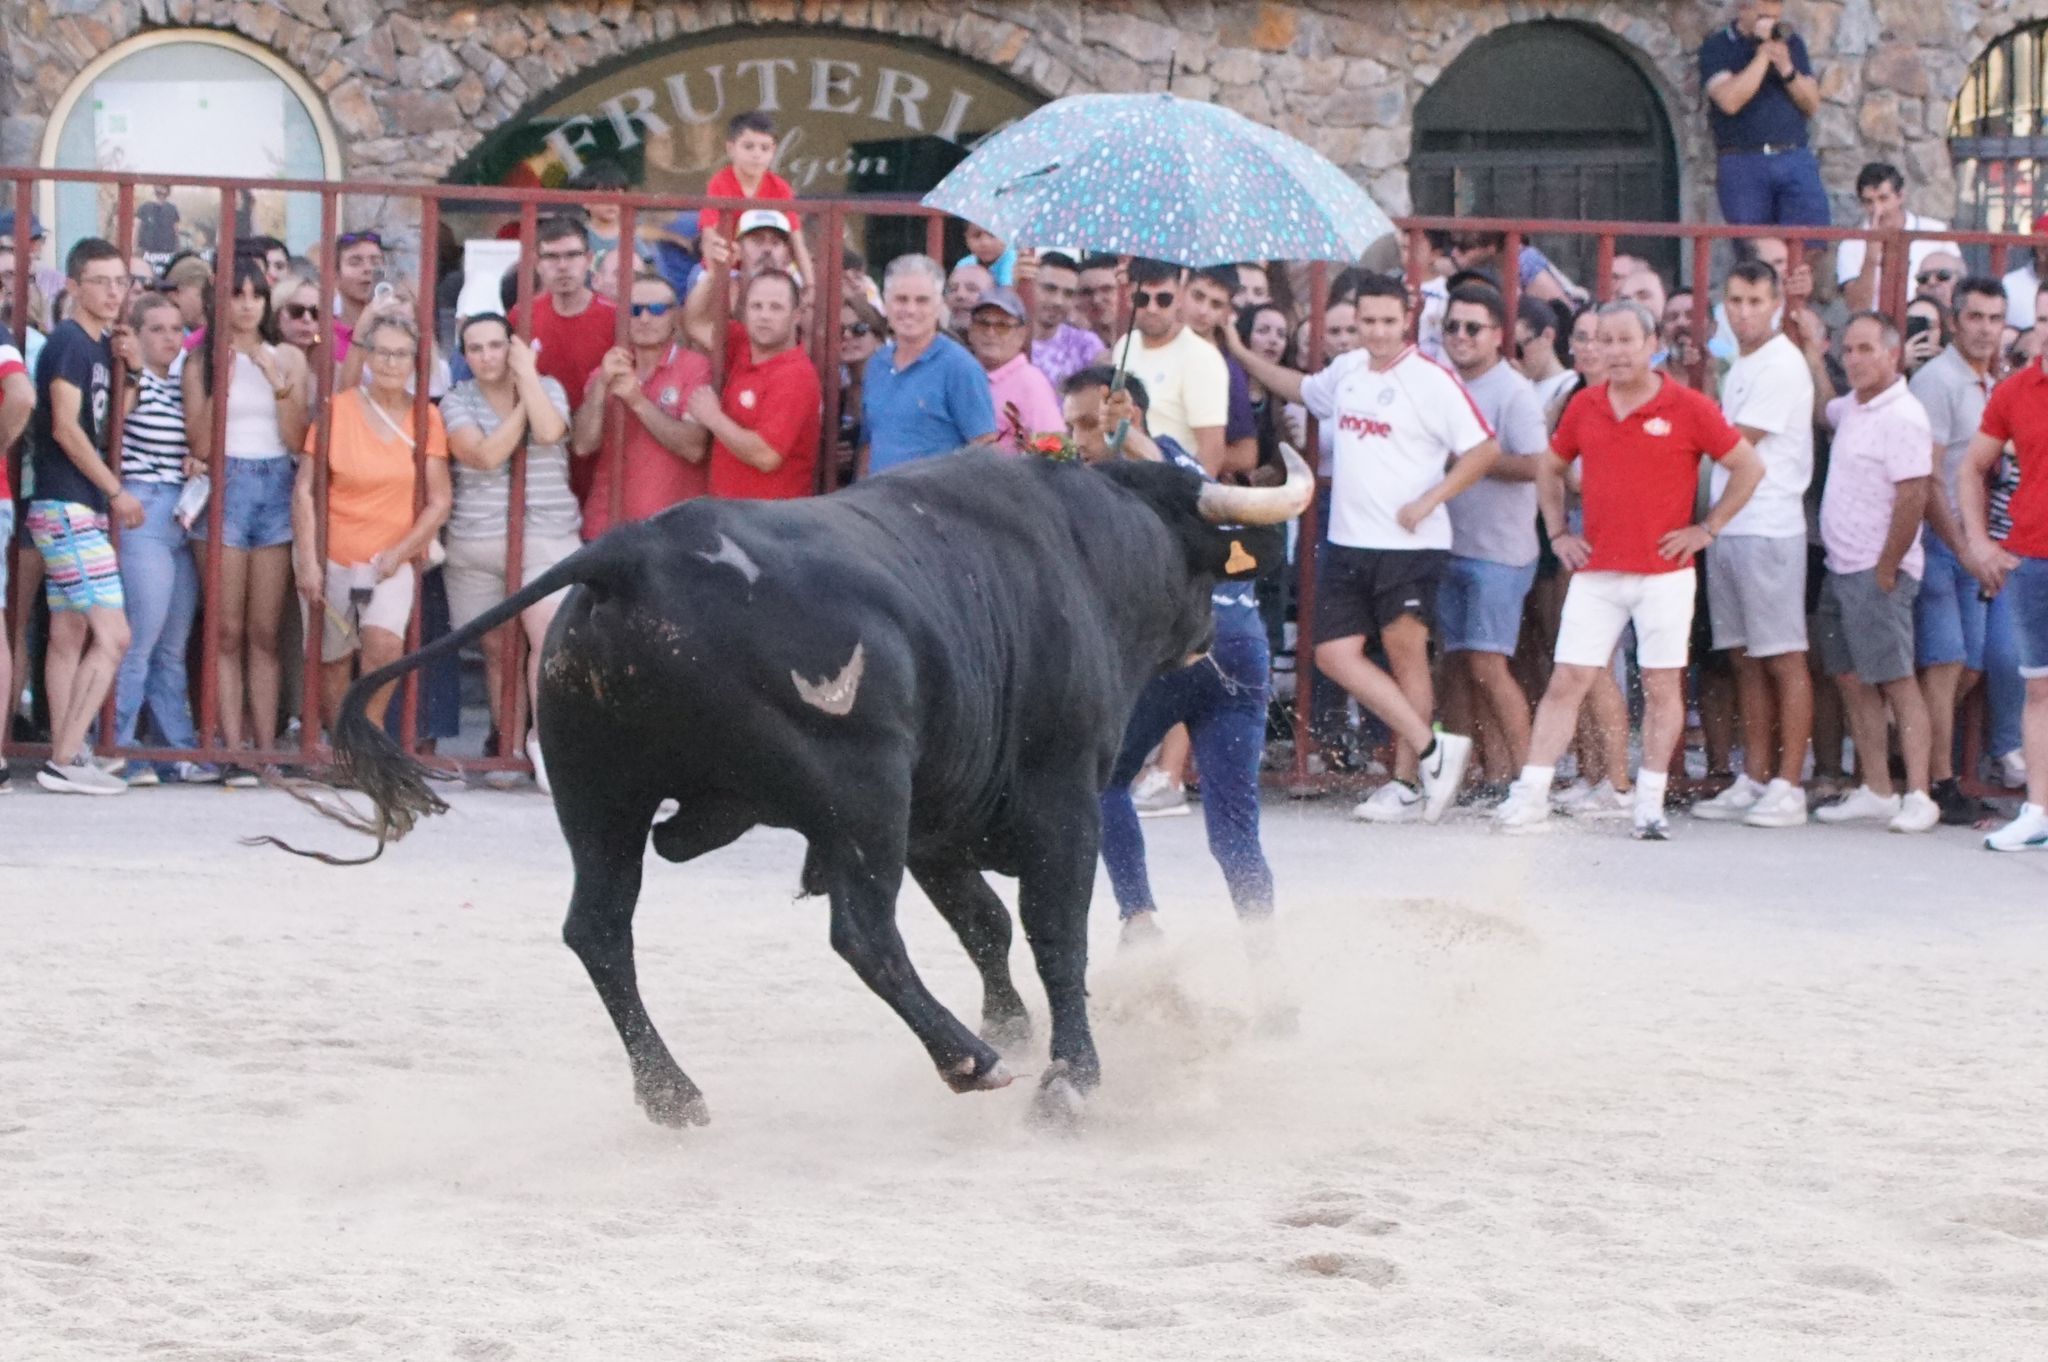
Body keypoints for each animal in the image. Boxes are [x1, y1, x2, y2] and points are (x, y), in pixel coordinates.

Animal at [268, 446, 1310, 1122]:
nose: (1213, 632)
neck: (1090, 545)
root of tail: (631, 553)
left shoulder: (938, 824)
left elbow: (984, 924)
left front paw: (1015, 1031)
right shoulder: (1056, 801)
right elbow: (1056, 933)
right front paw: (1067, 1075)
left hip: (601, 799)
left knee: (599, 930)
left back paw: (672, 1095)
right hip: (859, 794)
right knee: (862, 932)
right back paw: (965, 1062)